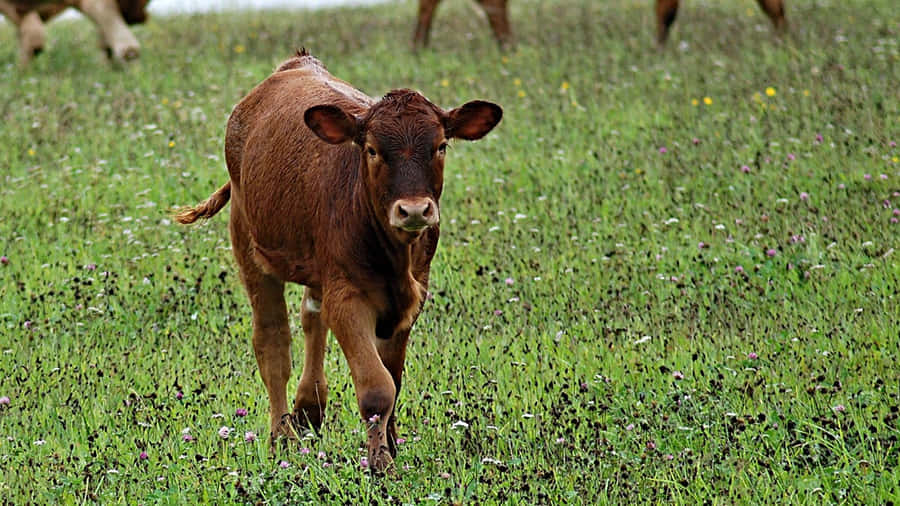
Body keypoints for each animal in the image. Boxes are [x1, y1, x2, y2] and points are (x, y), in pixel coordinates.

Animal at [175, 49, 502, 473]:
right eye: (372, 149)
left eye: (441, 146)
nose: (414, 210)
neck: (394, 257)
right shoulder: (348, 296)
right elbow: (377, 387)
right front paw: (381, 463)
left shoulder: (412, 296)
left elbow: (394, 377)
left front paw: (390, 444)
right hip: (249, 244)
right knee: (273, 342)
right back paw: (282, 436)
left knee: (312, 316)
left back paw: (309, 409)